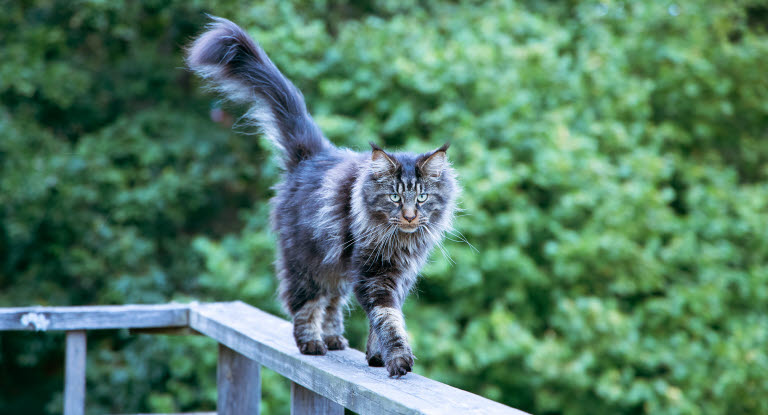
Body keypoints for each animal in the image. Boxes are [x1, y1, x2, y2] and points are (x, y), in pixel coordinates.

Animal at [188, 17, 456, 380]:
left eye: (423, 197)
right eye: (395, 197)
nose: (411, 215)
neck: (399, 241)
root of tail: (311, 155)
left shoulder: (397, 275)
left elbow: (381, 320)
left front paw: (375, 356)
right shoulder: (373, 275)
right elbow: (387, 318)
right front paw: (398, 359)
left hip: (334, 266)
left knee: (330, 302)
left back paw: (333, 339)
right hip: (304, 262)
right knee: (304, 303)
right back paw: (312, 344)